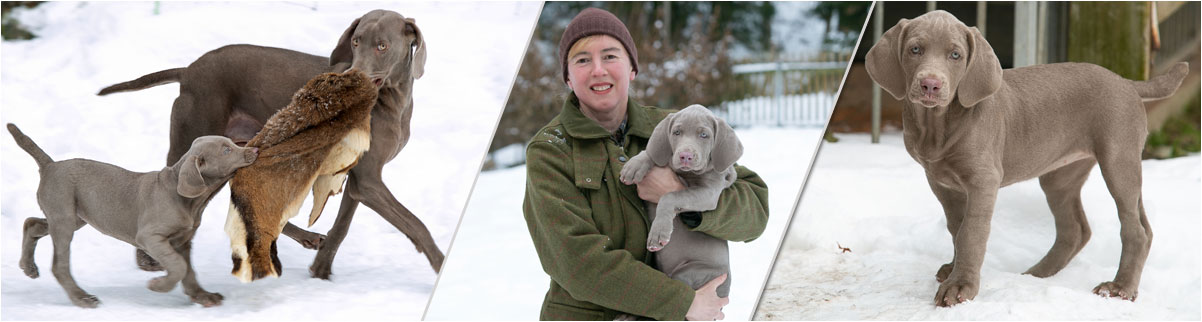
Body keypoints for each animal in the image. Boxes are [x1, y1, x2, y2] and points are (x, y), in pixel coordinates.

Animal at [7, 123, 256, 309]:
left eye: (231, 144)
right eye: (226, 150)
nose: (253, 150)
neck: (189, 201)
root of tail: (50, 166)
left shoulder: (183, 240)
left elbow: (188, 269)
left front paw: (202, 296)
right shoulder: (150, 238)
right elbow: (178, 266)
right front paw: (158, 286)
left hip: (72, 216)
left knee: (32, 224)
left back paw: (28, 267)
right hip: (65, 218)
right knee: (59, 265)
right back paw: (82, 298)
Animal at [97, 10, 447, 276]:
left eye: (382, 46)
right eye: (356, 41)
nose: (353, 75)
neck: (391, 99)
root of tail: (188, 72)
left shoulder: (360, 180)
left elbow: (341, 227)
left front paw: (321, 270)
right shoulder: (370, 180)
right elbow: (416, 224)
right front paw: (441, 263)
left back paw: (303, 238)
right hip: (197, 144)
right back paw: (147, 259)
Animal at [865, 10, 1192, 306]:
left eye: (955, 55)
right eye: (915, 50)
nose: (930, 84)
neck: (938, 125)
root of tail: (1126, 82)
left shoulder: (983, 181)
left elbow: (971, 232)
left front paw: (960, 287)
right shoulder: (941, 182)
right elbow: (956, 227)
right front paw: (953, 270)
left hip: (1118, 159)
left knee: (1136, 229)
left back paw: (1120, 288)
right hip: (1061, 176)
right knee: (1076, 230)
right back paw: (1036, 275)